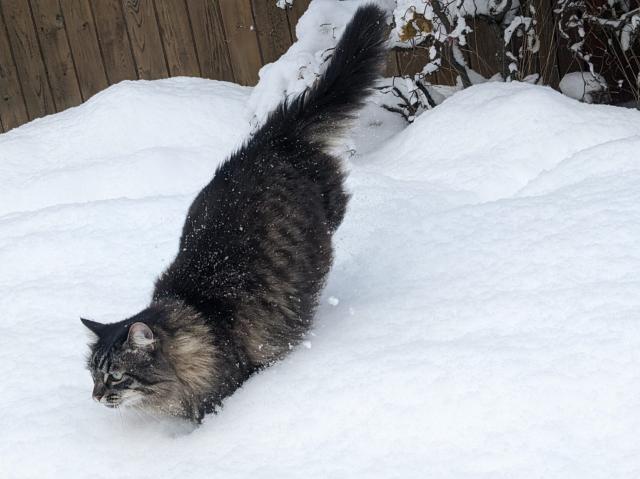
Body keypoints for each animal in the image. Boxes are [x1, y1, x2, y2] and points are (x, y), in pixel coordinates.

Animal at [82, 4, 388, 424]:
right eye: (93, 375)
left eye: (115, 376)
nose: (95, 397)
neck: (198, 318)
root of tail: (267, 141)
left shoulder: (229, 383)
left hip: (330, 213)